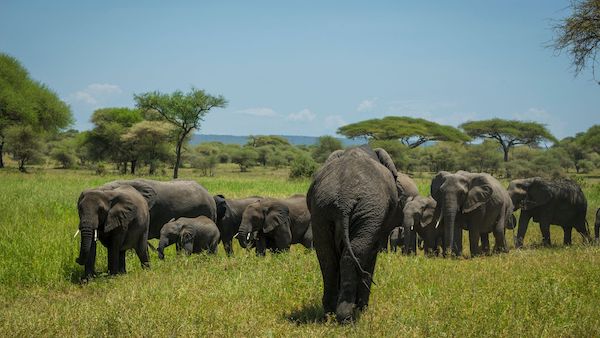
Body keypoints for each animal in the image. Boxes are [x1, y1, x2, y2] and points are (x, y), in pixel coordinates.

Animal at [308, 147, 400, 324]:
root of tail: (343, 200)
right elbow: (371, 255)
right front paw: (363, 308)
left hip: (321, 209)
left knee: (326, 257)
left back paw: (329, 313)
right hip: (369, 212)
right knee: (355, 254)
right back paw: (347, 317)